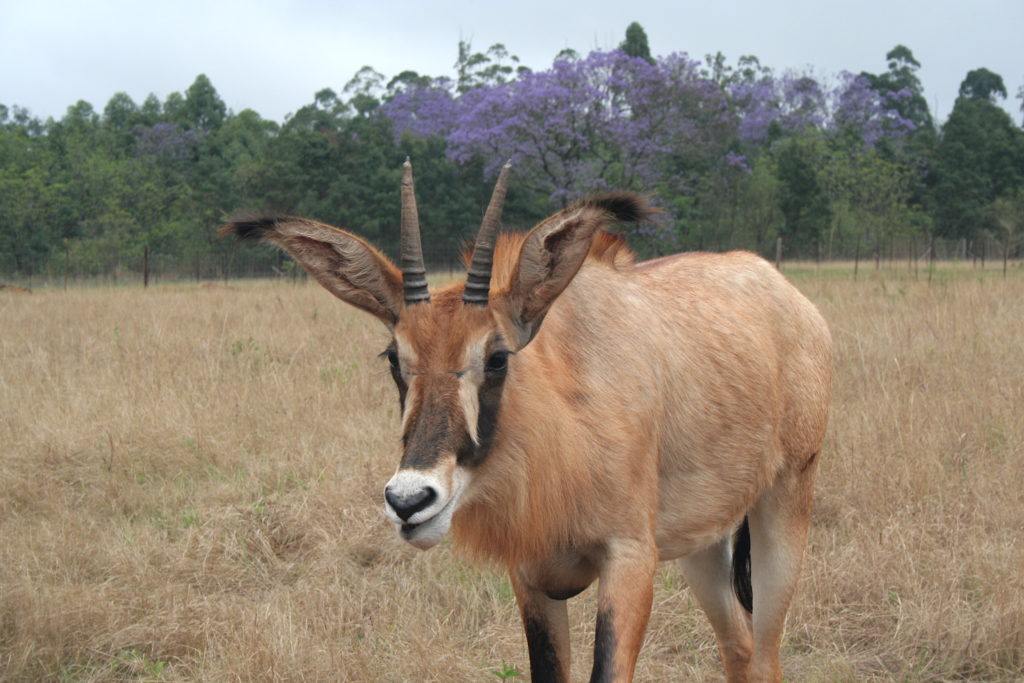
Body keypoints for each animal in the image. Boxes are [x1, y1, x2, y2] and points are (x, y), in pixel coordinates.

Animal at [222, 161, 831, 683]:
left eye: (496, 357)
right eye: (394, 358)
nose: (409, 500)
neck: (566, 403)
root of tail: (784, 291)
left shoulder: (630, 561)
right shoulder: (532, 579)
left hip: (785, 501)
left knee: (766, 654)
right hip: (705, 544)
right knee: (739, 647)